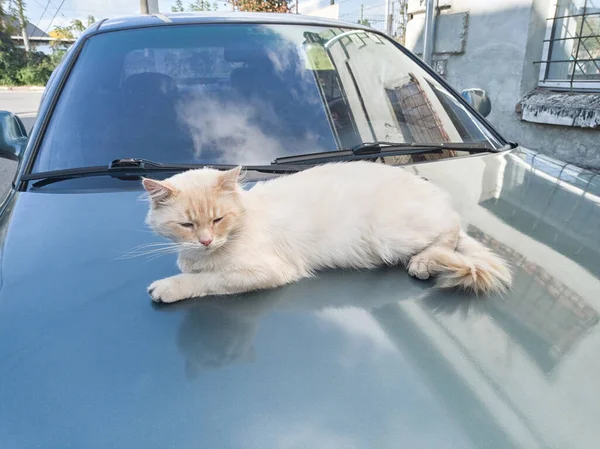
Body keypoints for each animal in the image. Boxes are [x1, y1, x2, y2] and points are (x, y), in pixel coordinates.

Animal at [142, 159, 510, 302]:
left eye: (218, 219)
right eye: (187, 225)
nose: (206, 240)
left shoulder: (266, 270)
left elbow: (208, 279)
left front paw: (171, 286)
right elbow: (192, 265)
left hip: (391, 234)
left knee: (450, 231)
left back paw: (424, 262)